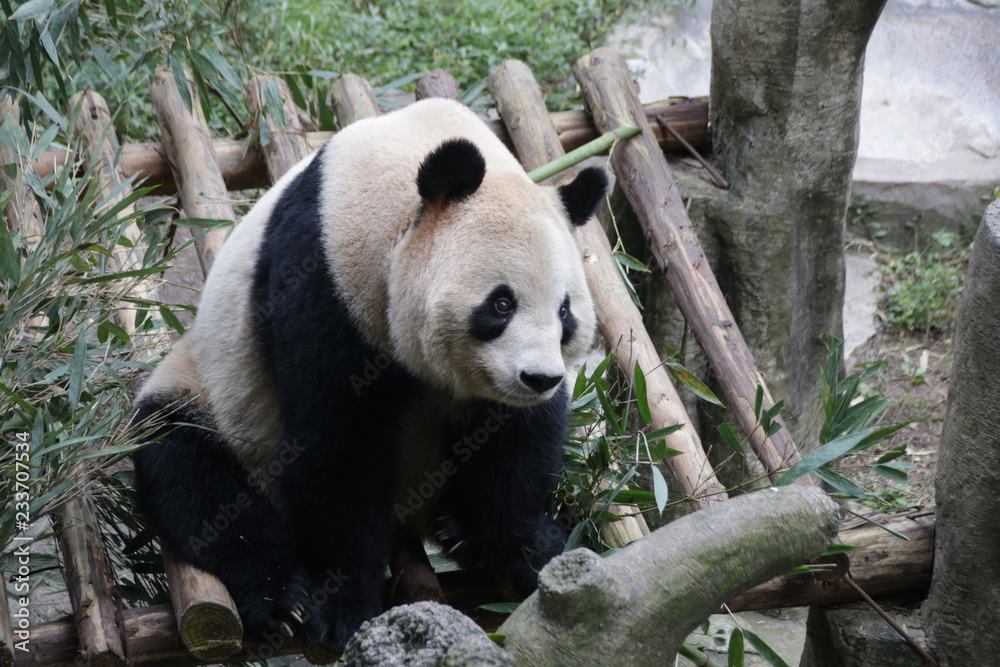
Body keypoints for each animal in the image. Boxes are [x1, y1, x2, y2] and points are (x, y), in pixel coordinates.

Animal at [131, 97, 608, 647]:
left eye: (565, 311)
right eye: (501, 303)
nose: (540, 379)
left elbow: (516, 440)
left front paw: (529, 547)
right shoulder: (325, 282)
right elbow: (336, 445)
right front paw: (340, 606)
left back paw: (458, 529)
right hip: (210, 391)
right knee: (188, 467)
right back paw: (280, 596)